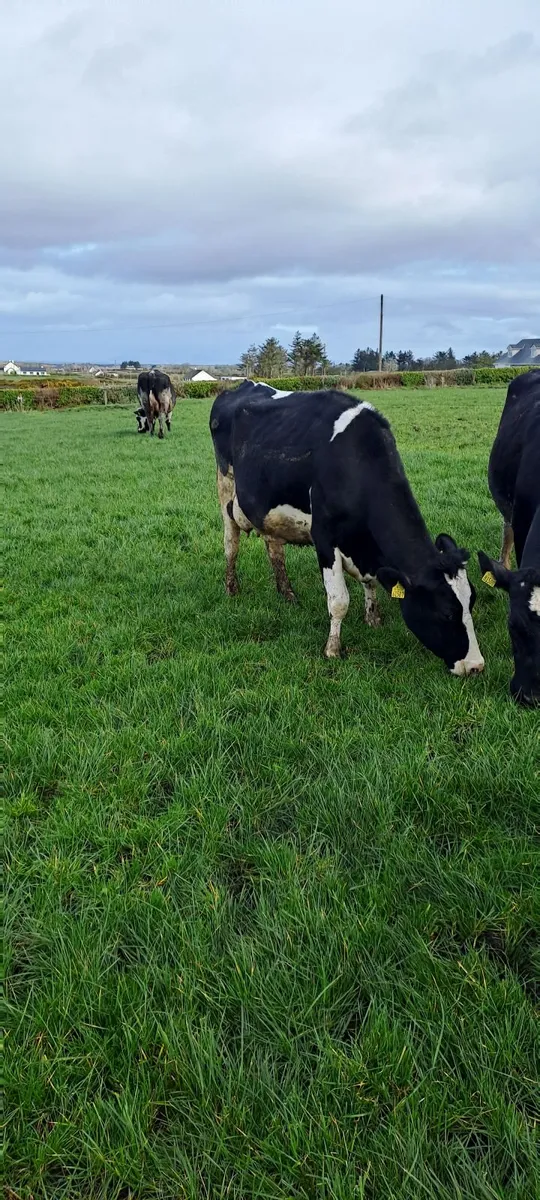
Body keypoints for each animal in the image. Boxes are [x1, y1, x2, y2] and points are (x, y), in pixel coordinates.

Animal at [210, 382, 485, 676]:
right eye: (446, 613)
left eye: (471, 602)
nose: (476, 665)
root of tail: (242, 385)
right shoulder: (324, 539)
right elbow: (338, 600)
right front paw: (332, 649)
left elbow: (370, 583)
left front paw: (373, 619)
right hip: (225, 487)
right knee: (231, 543)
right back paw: (232, 588)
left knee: (274, 549)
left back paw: (288, 594)